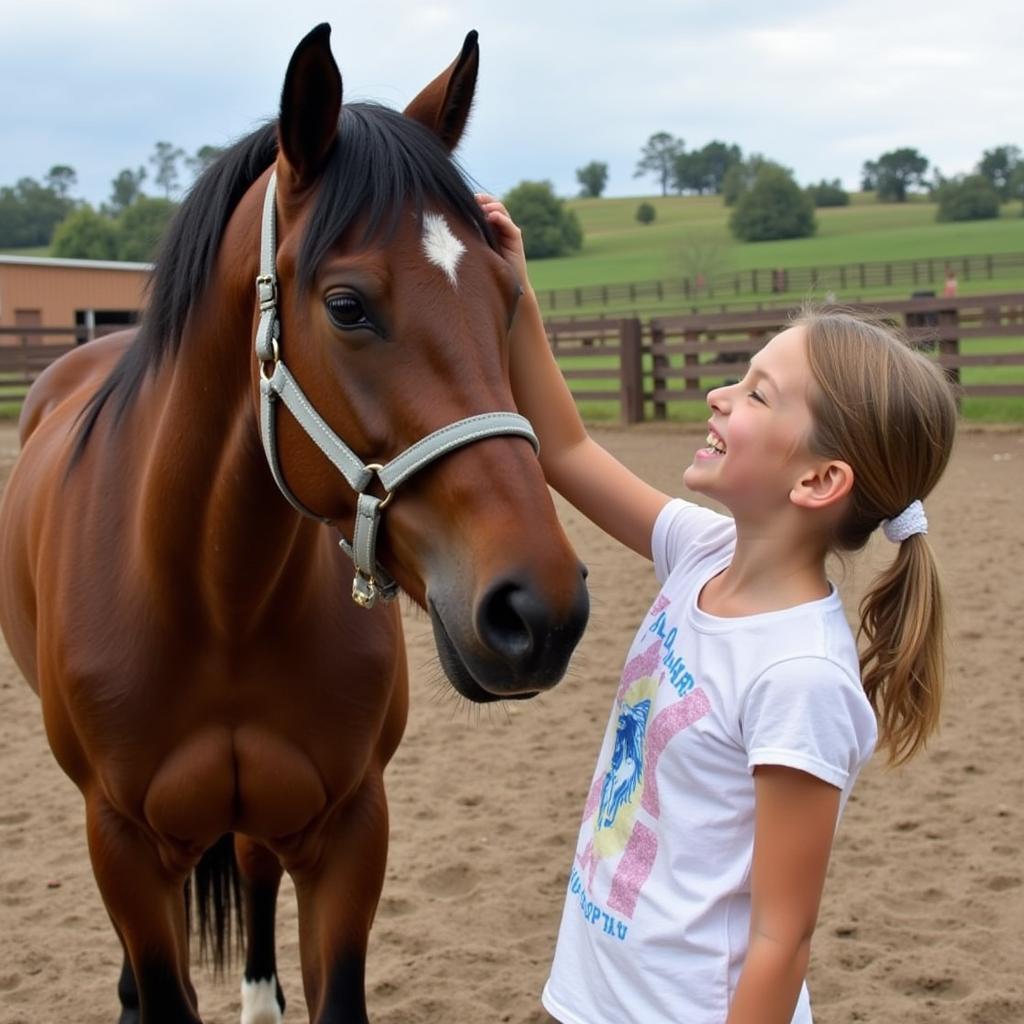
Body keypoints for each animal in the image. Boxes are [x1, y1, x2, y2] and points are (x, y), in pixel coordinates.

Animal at [0, 25, 589, 1024]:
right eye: (347, 305)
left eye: (509, 299)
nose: (539, 609)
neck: (215, 599)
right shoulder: (122, 842)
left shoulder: (350, 828)